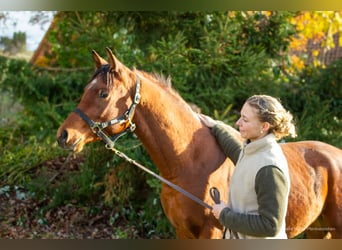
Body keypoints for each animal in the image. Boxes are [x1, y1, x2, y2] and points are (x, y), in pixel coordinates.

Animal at [56, 47, 342, 238]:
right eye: (85, 90)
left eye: (103, 93)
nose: (64, 135)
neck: (188, 162)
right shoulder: (182, 232)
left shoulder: (212, 232)